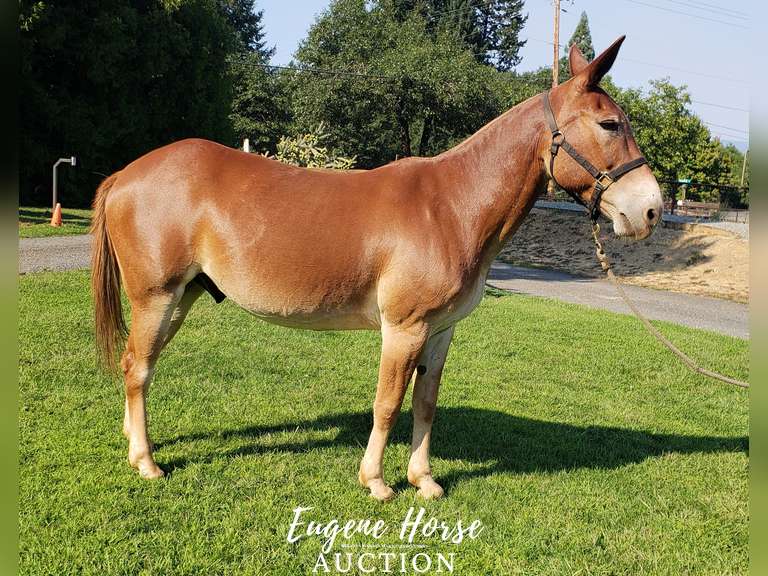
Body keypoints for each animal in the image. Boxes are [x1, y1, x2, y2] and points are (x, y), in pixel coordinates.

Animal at [91, 36, 663, 500]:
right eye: (610, 124)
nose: (651, 210)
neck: (450, 206)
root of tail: (125, 174)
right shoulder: (403, 328)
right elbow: (387, 403)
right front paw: (377, 481)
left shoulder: (440, 331)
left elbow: (426, 403)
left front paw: (423, 479)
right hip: (156, 296)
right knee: (137, 367)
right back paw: (146, 462)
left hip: (181, 297)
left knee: (137, 365)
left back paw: (132, 441)